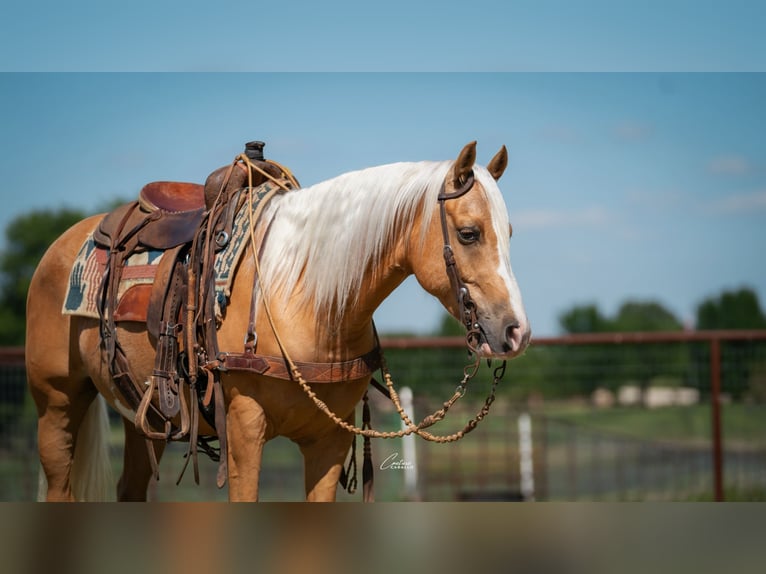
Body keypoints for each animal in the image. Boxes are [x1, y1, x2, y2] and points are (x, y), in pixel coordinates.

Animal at [26, 141, 530, 501]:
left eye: (509, 233)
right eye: (469, 233)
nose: (515, 332)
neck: (305, 300)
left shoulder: (329, 443)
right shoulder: (244, 435)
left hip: (141, 417)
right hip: (56, 403)